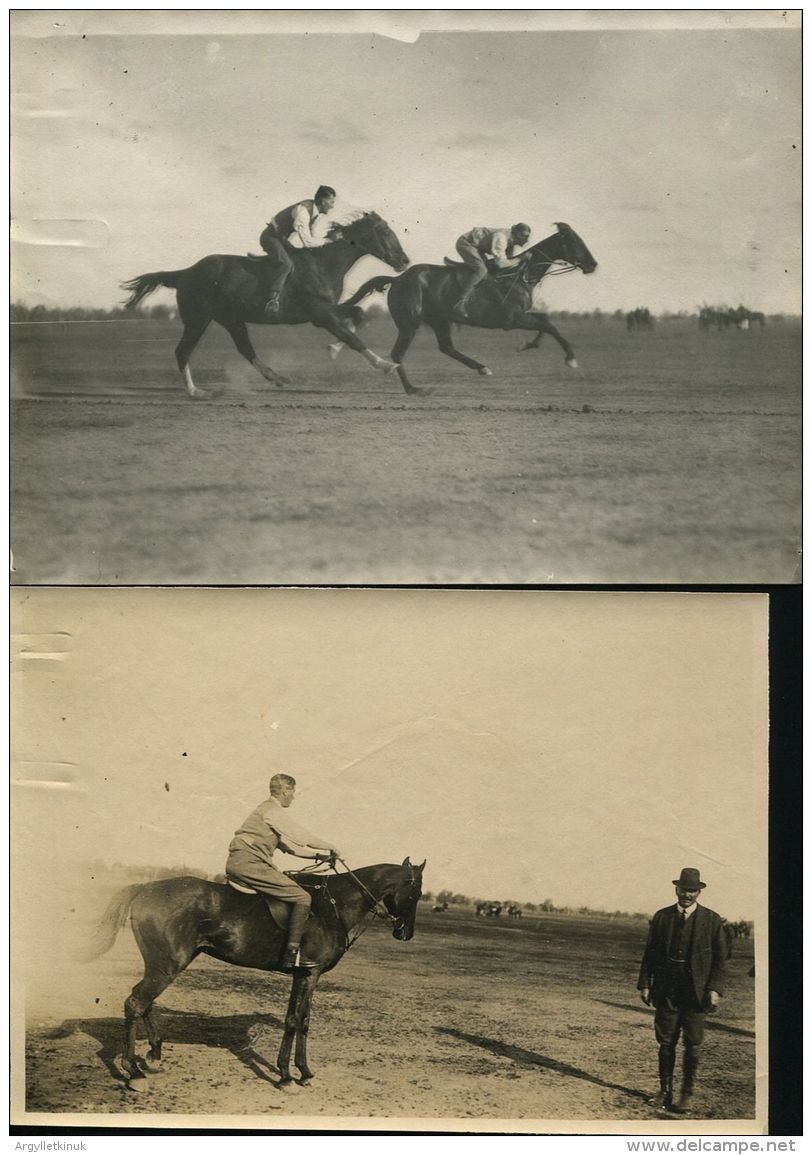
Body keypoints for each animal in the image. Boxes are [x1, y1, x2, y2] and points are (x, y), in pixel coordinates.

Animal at [82, 859, 425, 1090]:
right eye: (416, 892)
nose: (405, 934)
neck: (335, 905)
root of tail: (146, 887)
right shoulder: (309, 974)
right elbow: (295, 1020)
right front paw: (286, 1076)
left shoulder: (304, 975)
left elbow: (302, 1021)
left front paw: (302, 1072)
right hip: (167, 964)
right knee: (136, 1003)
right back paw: (134, 1071)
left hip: (165, 963)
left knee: (144, 1002)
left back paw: (153, 1055)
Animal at [121, 210, 408, 399]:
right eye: (385, 231)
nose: (404, 260)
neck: (322, 265)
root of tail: (185, 273)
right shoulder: (320, 313)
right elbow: (353, 338)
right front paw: (385, 365)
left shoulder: (324, 311)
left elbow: (357, 315)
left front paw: (334, 348)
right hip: (197, 319)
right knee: (182, 351)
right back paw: (196, 391)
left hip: (231, 319)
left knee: (245, 348)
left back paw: (276, 377)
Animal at [337, 220, 596, 397]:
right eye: (574, 241)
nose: (593, 264)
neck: (520, 274)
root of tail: (397, 279)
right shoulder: (511, 319)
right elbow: (549, 324)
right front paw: (571, 359)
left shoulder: (521, 316)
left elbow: (545, 319)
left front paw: (528, 345)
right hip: (409, 323)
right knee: (398, 354)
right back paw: (414, 389)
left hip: (439, 320)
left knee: (447, 347)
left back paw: (482, 368)